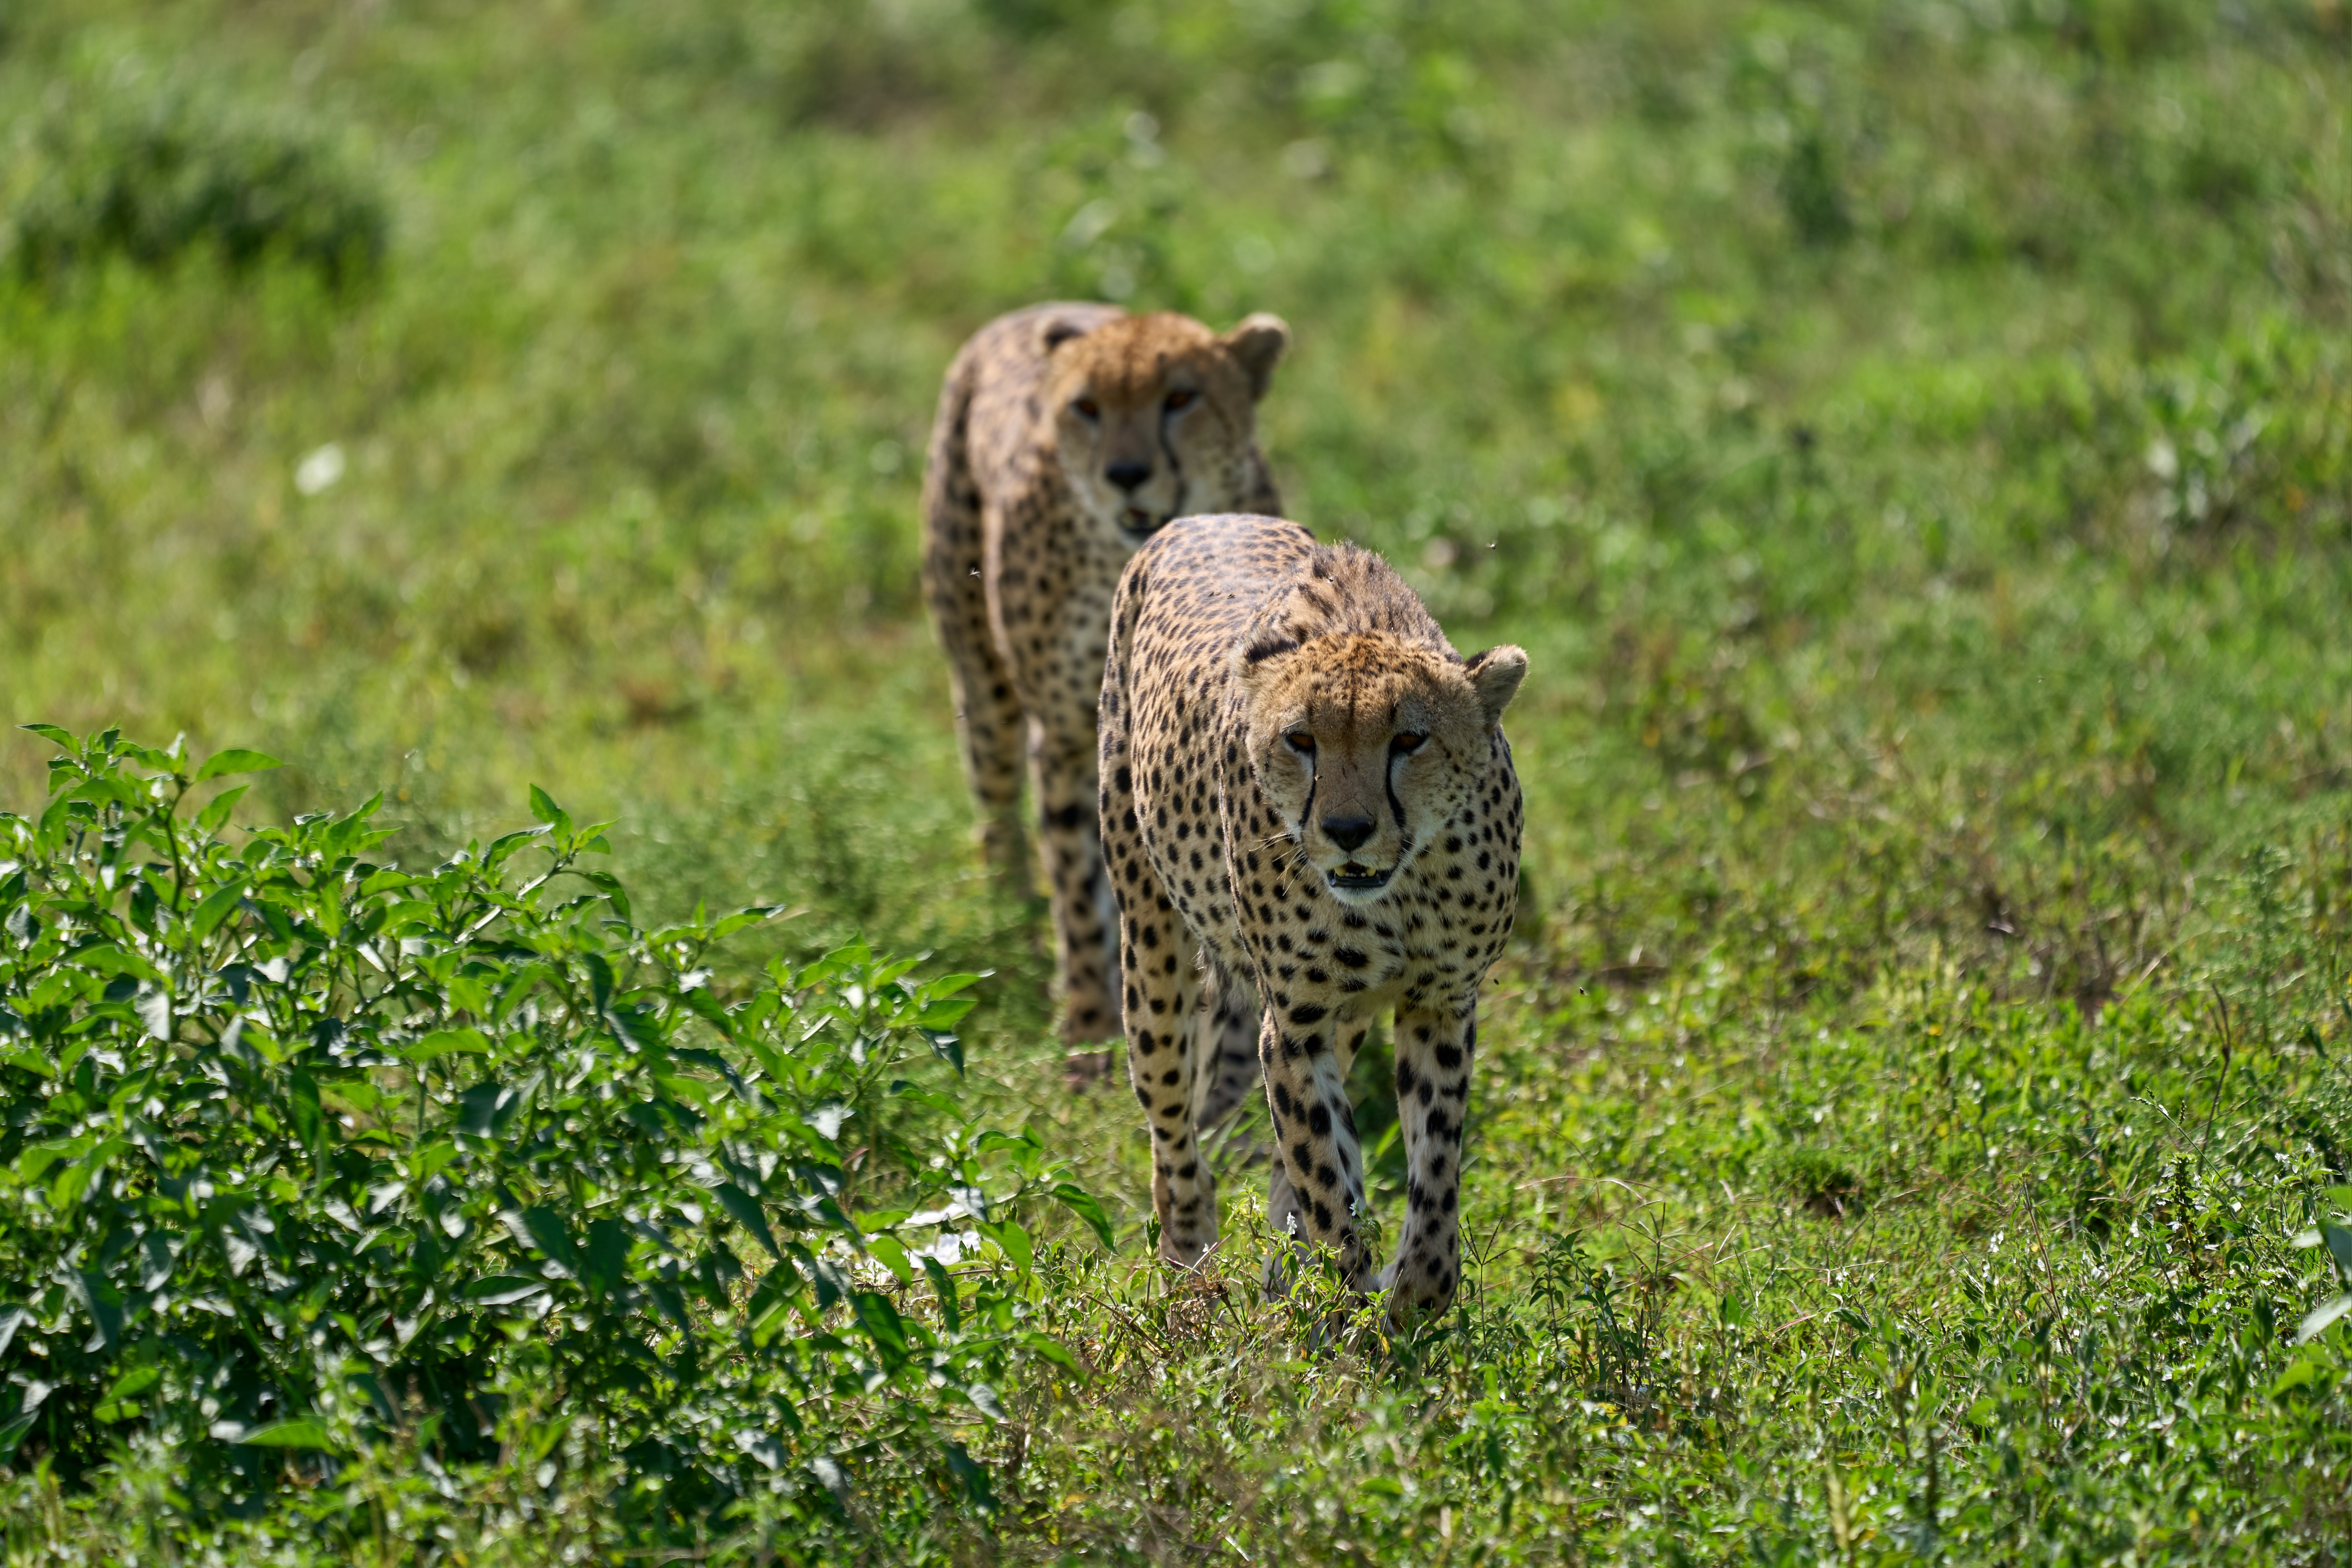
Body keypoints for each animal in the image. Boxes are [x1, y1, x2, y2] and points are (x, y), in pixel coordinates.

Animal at [917, 303, 1289, 1048]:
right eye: (1087, 407)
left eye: (1180, 398)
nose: (1125, 472)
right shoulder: (1065, 736)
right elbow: (1073, 884)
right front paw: (1088, 1023)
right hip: (986, 690)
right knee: (998, 817)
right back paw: (1014, 926)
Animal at [1101, 515, 1524, 1326]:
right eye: (1301, 740)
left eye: (1409, 739)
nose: (1348, 830)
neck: (1399, 891)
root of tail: (1199, 518)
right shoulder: (1294, 1024)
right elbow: (1326, 1179)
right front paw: (1349, 1304)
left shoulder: (1440, 1004)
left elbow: (1431, 1171)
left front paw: (1407, 1297)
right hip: (1151, 945)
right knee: (1173, 1126)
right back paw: (1191, 1259)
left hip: (1345, 1018)